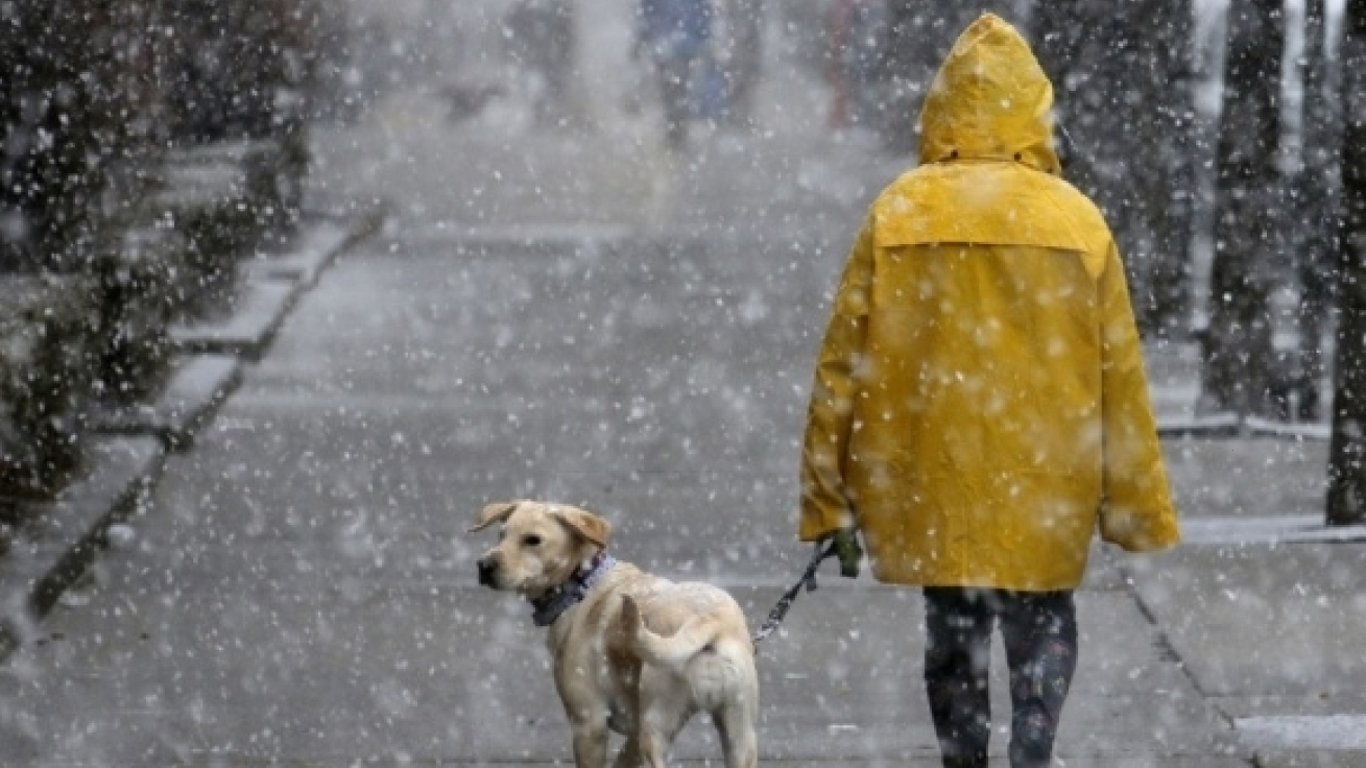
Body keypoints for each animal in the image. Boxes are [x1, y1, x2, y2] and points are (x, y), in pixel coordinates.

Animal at [475, 497, 764, 765]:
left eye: (533, 540)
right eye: (501, 534)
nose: (483, 566)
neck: (583, 582)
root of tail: (710, 620)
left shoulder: (589, 724)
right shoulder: (632, 735)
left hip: (655, 731)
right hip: (740, 737)